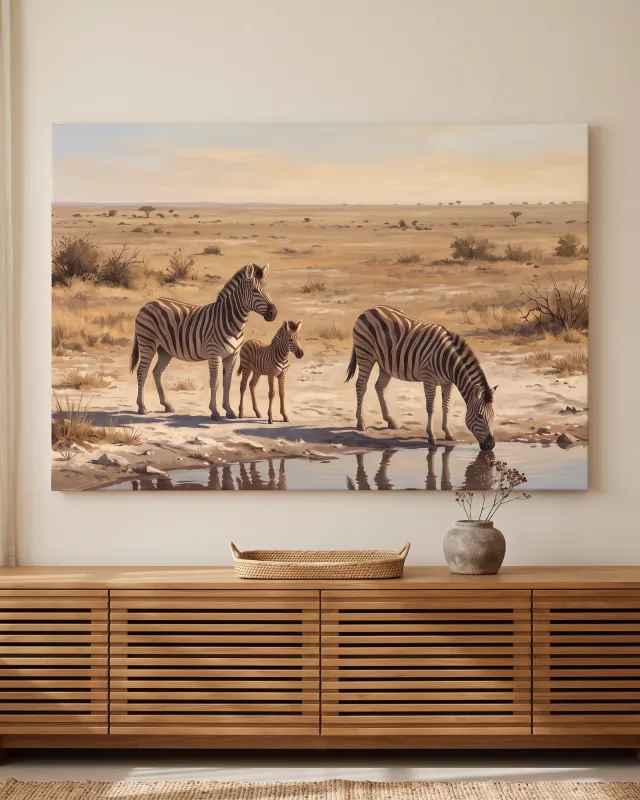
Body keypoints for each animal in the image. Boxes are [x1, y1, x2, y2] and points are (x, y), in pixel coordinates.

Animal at [130, 262, 276, 421]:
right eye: (255, 290)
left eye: (268, 290)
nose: (273, 313)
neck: (231, 321)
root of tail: (149, 303)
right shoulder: (214, 354)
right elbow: (215, 382)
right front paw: (215, 412)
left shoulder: (232, 356)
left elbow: (227, 382)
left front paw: (229, 411)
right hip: (147, 342)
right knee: (142, 371)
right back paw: (142, 407)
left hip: (165, 349)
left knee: (157, 372)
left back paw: (167, 405)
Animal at [345, 305, 496, 450]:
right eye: (479, 416)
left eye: (493, 415)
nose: (491, 445)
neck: (448, 361)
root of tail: (369, 309)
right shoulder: (429, 379)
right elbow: (430, 407)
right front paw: (431, 436)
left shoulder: (447, 382)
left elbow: (446, 406)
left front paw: (448, 433)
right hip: (365, 353)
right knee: (361, 385)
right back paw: (361, 423)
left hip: (385, 364)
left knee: (380, 387)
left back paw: (390, 421)